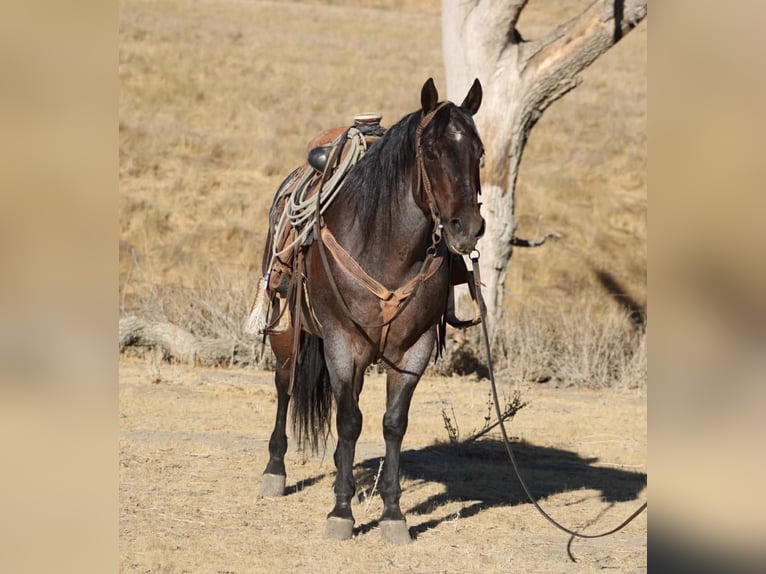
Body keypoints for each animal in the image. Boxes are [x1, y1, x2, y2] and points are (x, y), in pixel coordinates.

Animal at [256, 78, 485, 544]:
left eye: (480, 152)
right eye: (431, 152)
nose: (468, 228)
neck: (387, 249)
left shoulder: (413, 351)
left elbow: (392, 423)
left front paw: (393, 514)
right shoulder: (342, 344)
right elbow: (348, 421)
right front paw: (341, 513)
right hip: (287, 329)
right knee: (285, 386)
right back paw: (275, 471)